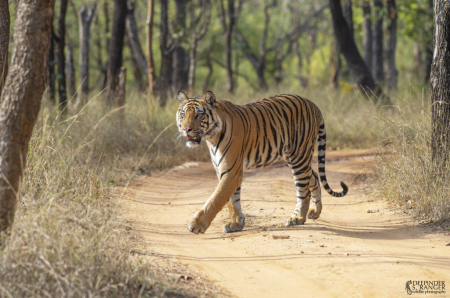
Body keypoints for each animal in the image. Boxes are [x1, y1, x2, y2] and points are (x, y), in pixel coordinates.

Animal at [177, 89, 348, 234]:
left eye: (199, 115)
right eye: (183, 114)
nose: (186, 129)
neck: (211, 137)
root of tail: (311, 103)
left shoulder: (231, 170)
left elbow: (217, 198)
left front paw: (197, 225)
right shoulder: (224, 170)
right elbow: (232, 200)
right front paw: (236, 224)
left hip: (299, 156)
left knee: (303, 189)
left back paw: (297, 218)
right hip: (292, 156)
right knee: (314, 177)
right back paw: (315, 212)